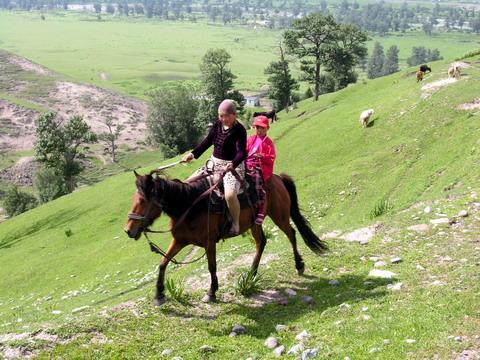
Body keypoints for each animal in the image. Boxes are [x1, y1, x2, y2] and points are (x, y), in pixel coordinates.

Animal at [124, 171, 326, 304]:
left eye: (142, 201)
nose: (128, 230)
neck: (189, 206)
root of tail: (277, 177)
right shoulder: (179, 241)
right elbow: (163, 263)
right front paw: (159, 294)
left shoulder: (209, 243)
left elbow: (211, 267)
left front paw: (211, 292)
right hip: (255, 223)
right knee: (261, 242)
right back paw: (251, 274)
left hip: (280, 216)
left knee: (291, 234)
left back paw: (299, 265)